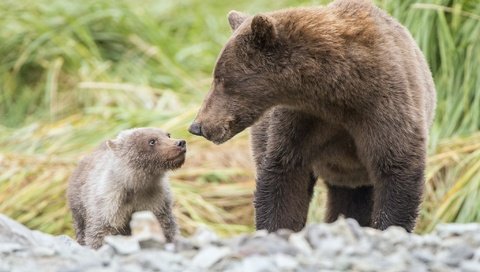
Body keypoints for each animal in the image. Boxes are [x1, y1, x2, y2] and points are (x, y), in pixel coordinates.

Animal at [189, 0, 436, 233]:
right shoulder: (303, 120)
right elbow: (283, 177)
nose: (197, 126)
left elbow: (397, 170)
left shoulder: (384, 107)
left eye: (221, 79)